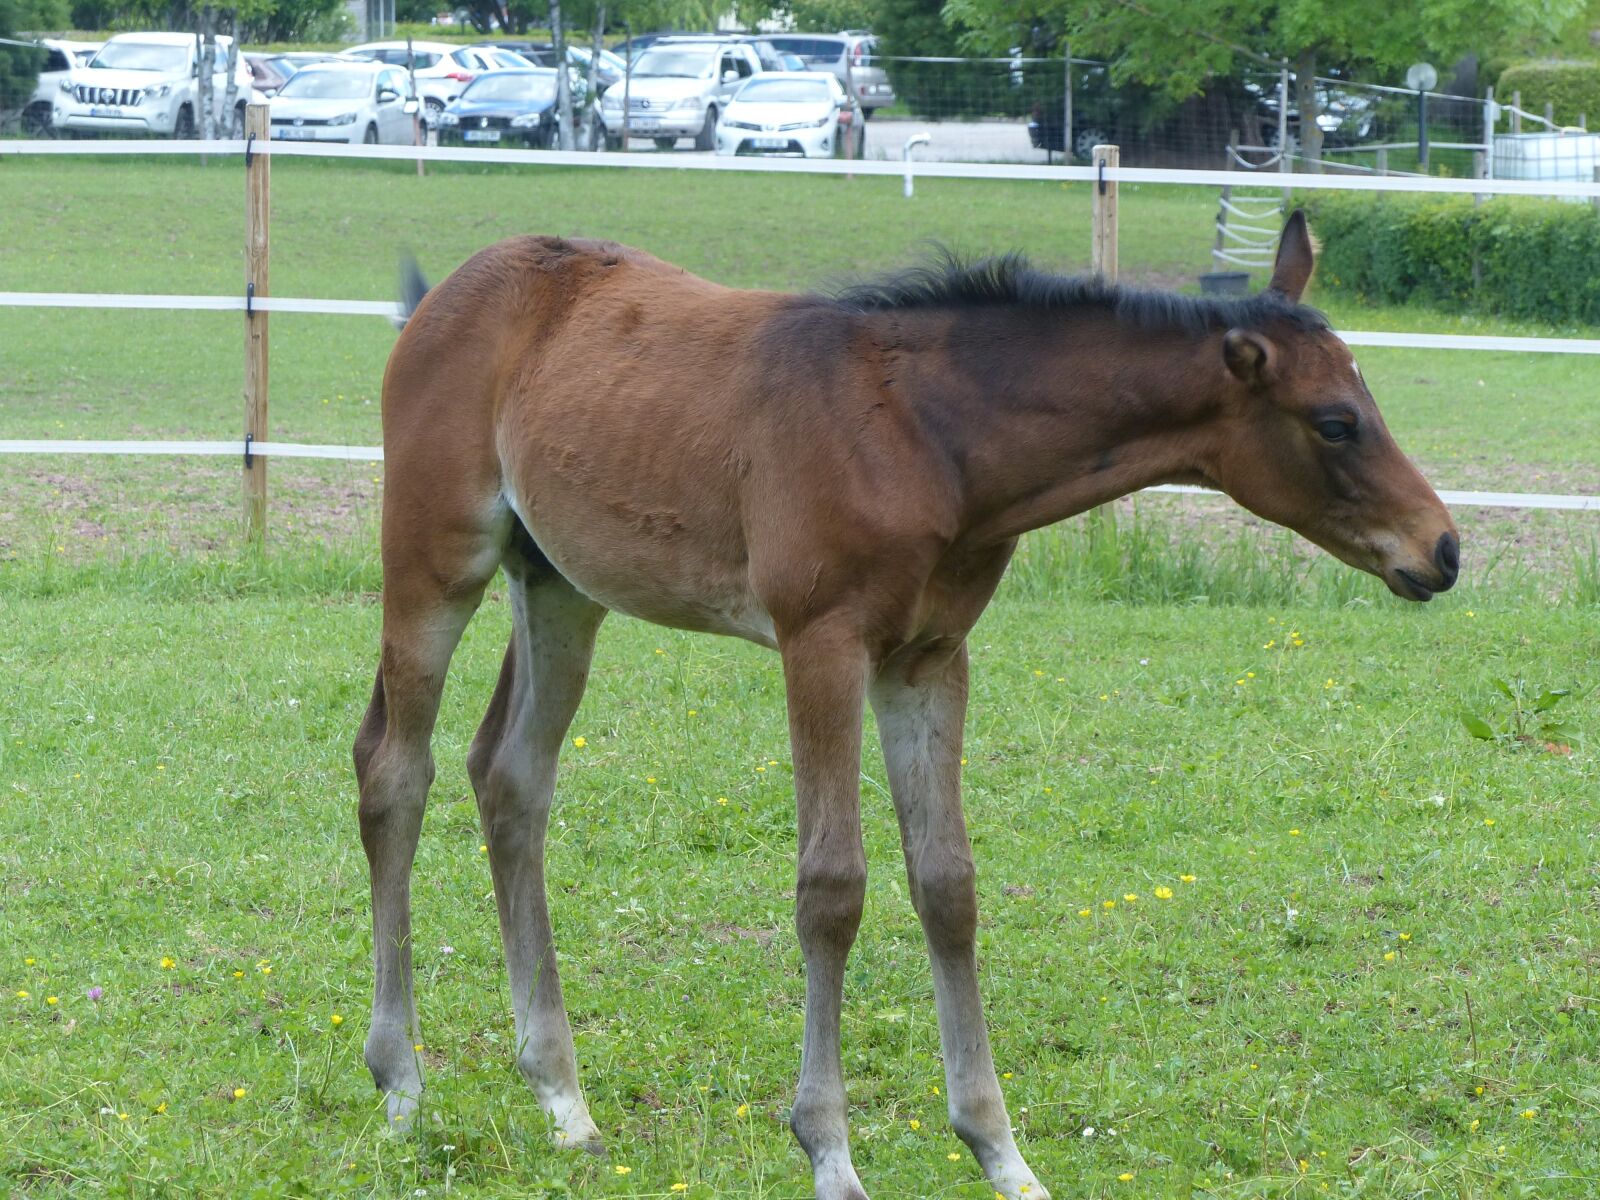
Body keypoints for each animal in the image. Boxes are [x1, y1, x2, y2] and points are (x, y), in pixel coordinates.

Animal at [353, 211, 1458, 1200]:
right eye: (1336, 422)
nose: (1442, 550)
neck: (928, 435)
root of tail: (449, 293)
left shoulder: (928, 658)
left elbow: (948, 885)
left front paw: (1001, 1153)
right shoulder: (822, 644)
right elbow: (833, 888)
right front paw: (829, 1152)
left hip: (558, 584)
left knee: (510, 777)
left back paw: (563, 1100)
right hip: (434, 559)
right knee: (394, 770)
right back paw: (402, 1083)